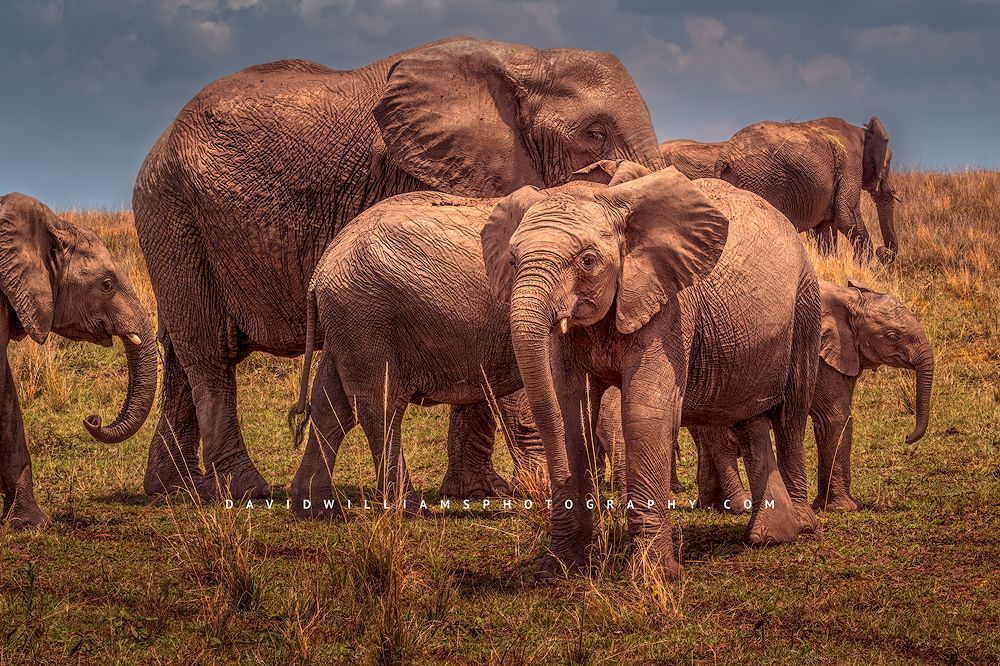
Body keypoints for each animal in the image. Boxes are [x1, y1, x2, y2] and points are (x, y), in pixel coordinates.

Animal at [133, 36, 664, 501]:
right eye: (594, 133)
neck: (528, 59)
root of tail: (156, 144)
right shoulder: (421, 170)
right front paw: (535, 486)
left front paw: (478, 492)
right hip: (173, 216)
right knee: (209, 354)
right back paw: (245, 490)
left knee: (182, 356)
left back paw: (176, 490)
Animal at [481, 163, 822, 580]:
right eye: (513, 261)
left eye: (588, 261)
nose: (549, 483)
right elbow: (569, 412)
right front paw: (558, 569)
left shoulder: (670, 303)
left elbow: (644, 413)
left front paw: (652, 575)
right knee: (749, 419)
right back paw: (770, 536)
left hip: (805, 303)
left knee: (791, 415)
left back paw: (802, 526)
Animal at [660, 117, 898, 263]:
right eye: (887, 165)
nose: (884, 251)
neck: (863, 131)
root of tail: (725, 156)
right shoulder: (851, 164)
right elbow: (846, 214)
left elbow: (826, 229)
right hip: (760, 180)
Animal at [694, 280, 934, 514]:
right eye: (892, 336)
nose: (907, 437)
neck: (849, 298)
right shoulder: (818, 355)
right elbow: (835, 417)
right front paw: (845, 509)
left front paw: (825, 506)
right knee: (723, 441)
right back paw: (740, 507)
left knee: (706, 441)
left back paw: (712, 506)